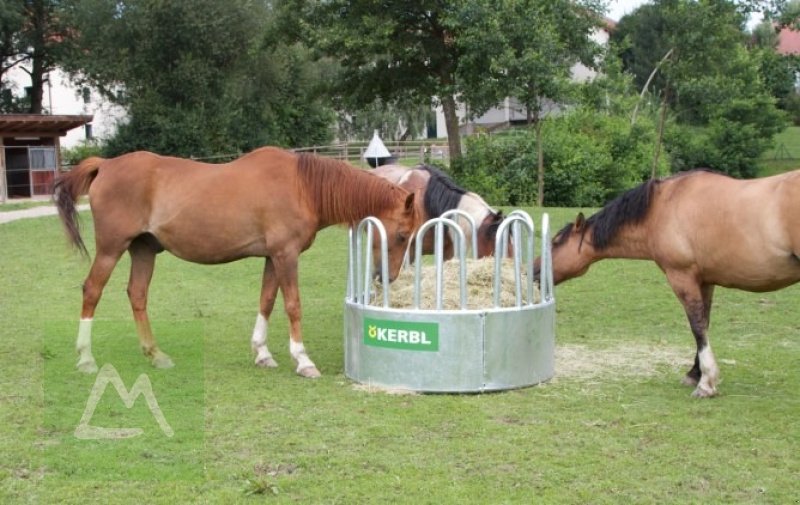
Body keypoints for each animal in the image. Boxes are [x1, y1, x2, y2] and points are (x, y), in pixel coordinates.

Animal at [55, 145, 418, 374]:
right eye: (402, 235)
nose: (387, 277)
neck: (302, 187)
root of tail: (105, 164)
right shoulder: (286, 255)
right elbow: (292, 305)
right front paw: (302, 360)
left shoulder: (273, 257)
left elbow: (267, 300)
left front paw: (262, 352)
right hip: (111, 248)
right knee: (92, 291)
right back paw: (85, 358)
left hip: (143, 250)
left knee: (138, 295)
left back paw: (155, 354)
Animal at [536, 169, 800, 398]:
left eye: (556, 242)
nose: (535, 270)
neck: (661, 208)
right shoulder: (705, 281)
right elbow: (704, 324)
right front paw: (695, 373)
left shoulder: (681, 277)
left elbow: (697, 327)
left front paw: (706, 383)